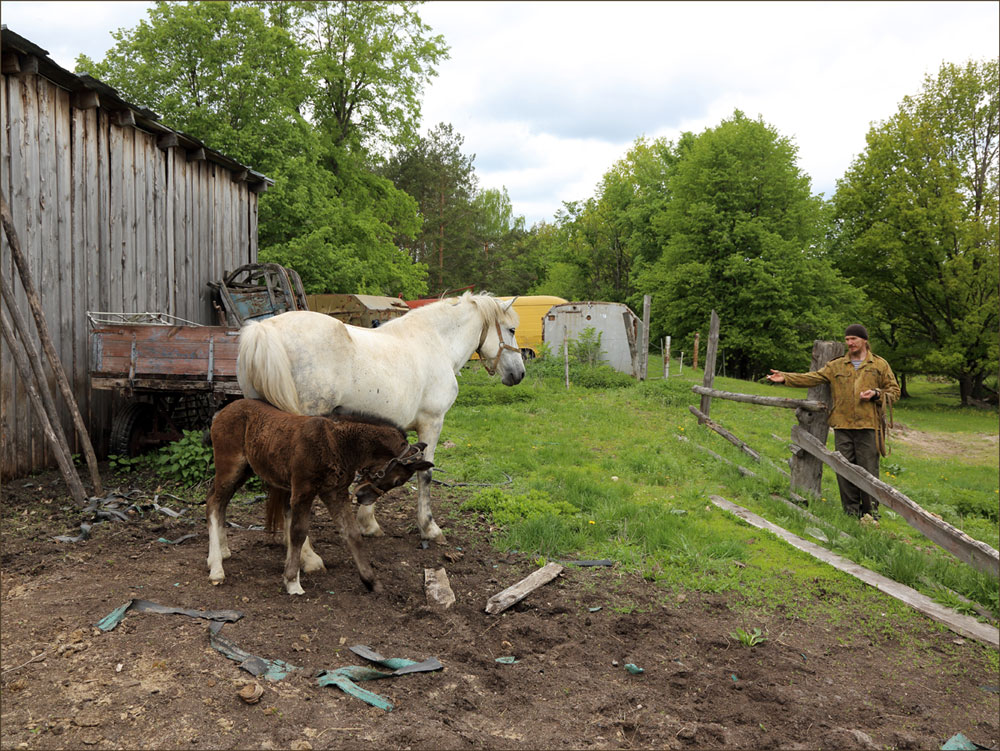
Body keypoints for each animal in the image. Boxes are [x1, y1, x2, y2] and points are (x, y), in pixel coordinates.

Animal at [238, 290, 528, 544]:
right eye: (512, 329)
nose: (520, 374)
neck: (436, 341)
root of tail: (265, 329)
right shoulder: (432, 423)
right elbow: (425, 475)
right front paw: (429, 528)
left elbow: (379, 471)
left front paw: (368, 523)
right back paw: (309, 559)